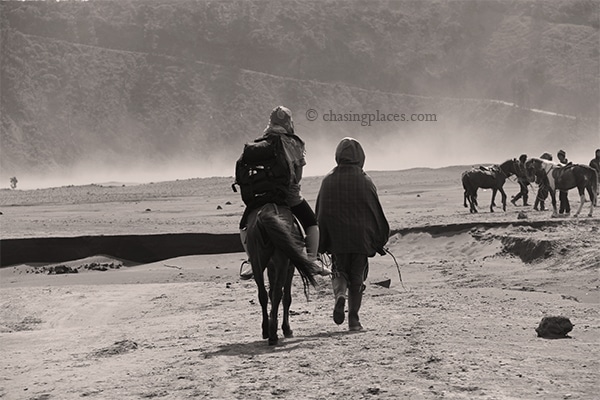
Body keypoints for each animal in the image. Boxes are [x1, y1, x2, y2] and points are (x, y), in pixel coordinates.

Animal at [245, 203, 318, 344]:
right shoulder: (289, 268)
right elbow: (286, 297)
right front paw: (286, 329)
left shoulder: (271, 267)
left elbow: (270, 292)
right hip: (283, 264)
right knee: (278, 294)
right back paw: (273, 334)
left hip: (257, 263)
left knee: (263, 294)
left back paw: (266, 330)